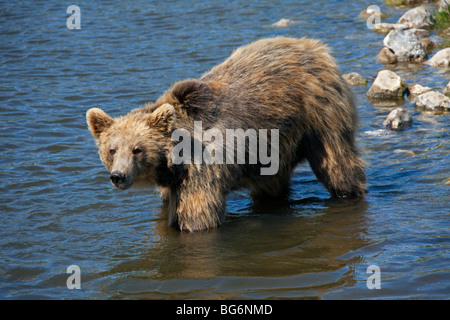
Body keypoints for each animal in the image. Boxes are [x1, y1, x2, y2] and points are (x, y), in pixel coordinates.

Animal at [86, 36, 368, 231]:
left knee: (336, 161)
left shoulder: (202, 168)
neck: (173, 164)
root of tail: (315, 46)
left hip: (319, 113)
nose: (118, 176)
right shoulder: (173, 182)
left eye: (137, 149)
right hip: (272, 146)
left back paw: (349, 191)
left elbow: (198, 216)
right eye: (112, 150)